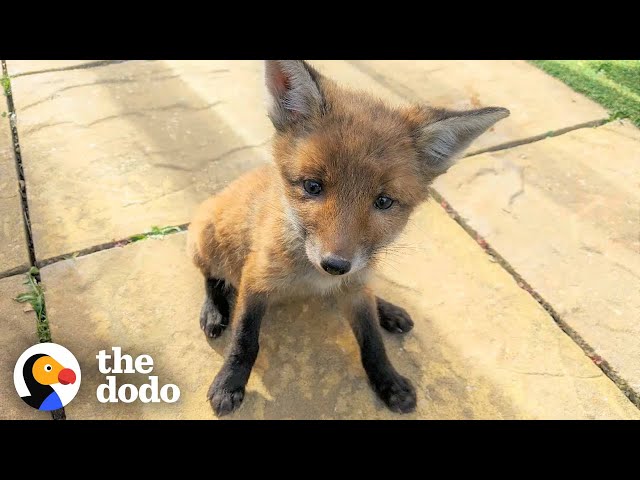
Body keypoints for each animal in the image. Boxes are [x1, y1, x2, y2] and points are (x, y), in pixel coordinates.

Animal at [186, 60, 510, 414]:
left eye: (384, 201)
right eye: (312, 186)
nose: (335, 265)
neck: (310, 279)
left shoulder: (355, 289)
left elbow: (372, 341)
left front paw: (388, 381)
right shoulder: (256, 279)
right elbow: (245, 340)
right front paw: (229, 383)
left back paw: (387, 309)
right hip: (205, 240)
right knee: (212, 278)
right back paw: (214, 310)